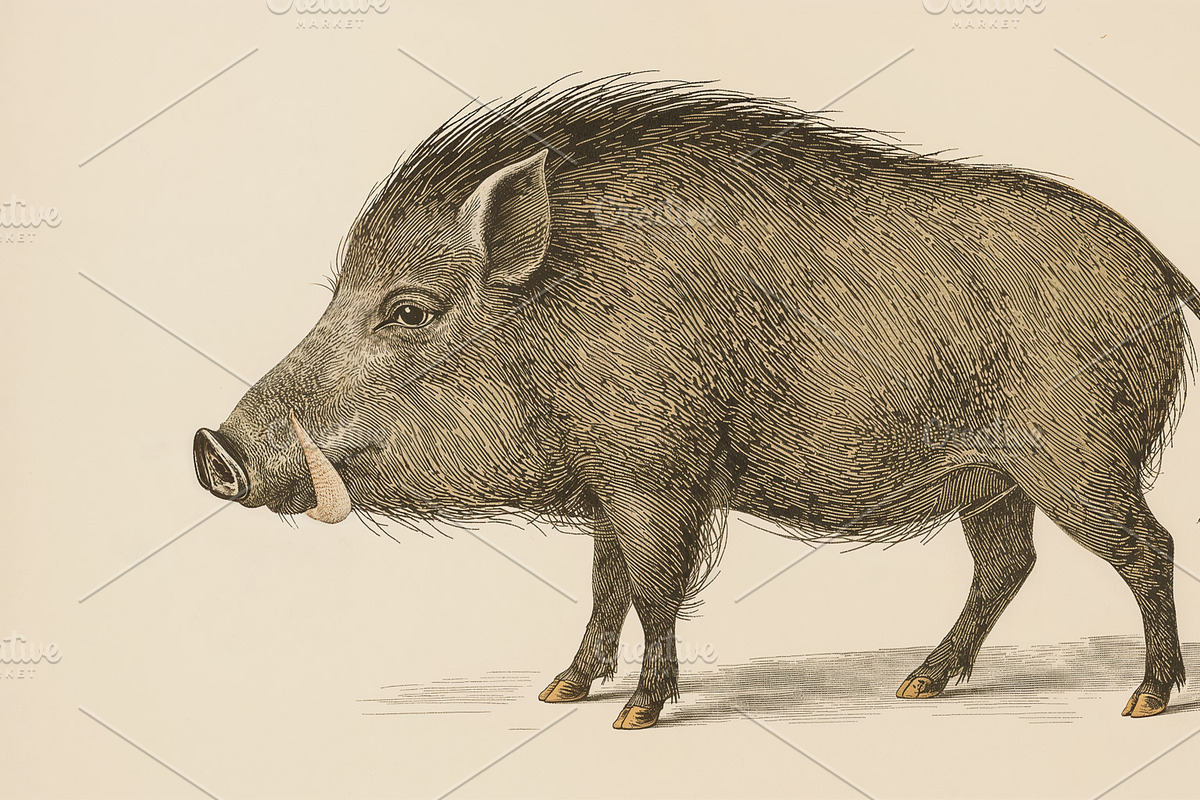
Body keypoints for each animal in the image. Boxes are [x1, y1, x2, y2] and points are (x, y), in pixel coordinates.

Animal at [194, 78, 1198, 729]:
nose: (211, 448)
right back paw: (919, 686)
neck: (557, 322)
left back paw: (1145, 702)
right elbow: (605, 587)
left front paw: (635, 716)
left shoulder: (654, 475)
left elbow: (652, 588)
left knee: (1148, 548)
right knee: (1007, 565)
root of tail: (1155, 262)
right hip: (995, 479)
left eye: (409, 311)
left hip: (1077, 458)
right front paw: (561, 691)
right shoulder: (609, 484)